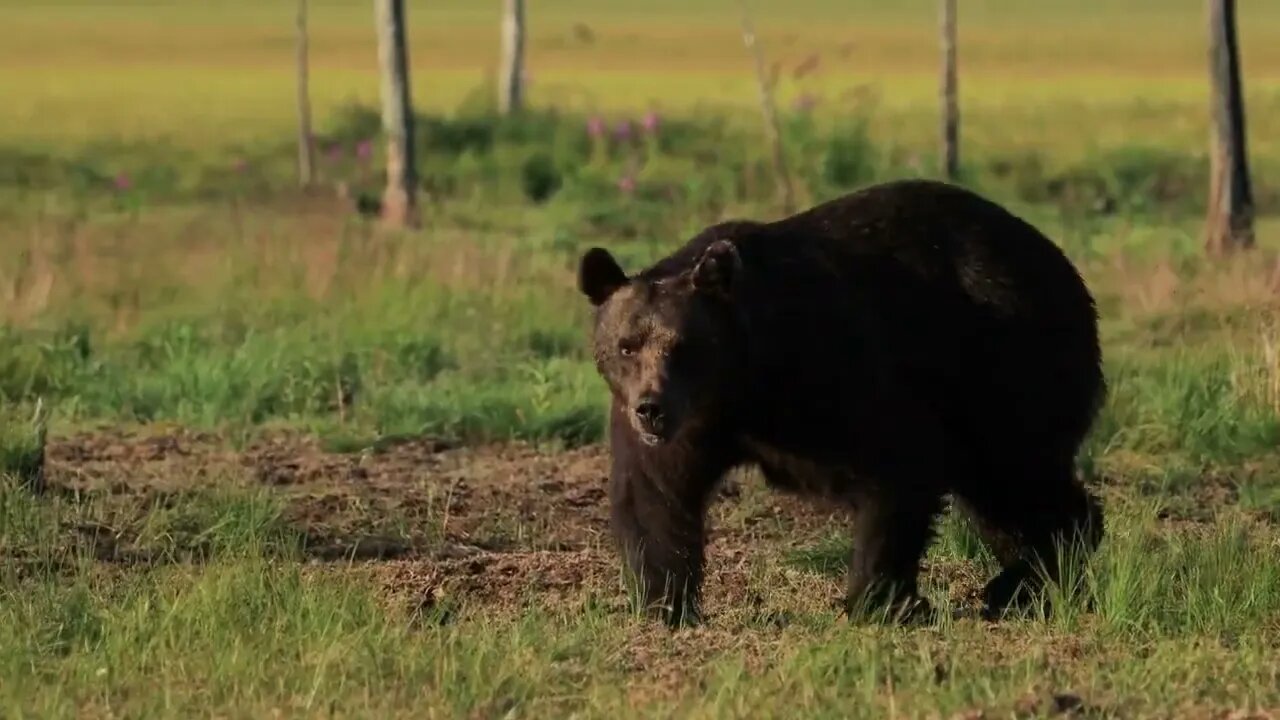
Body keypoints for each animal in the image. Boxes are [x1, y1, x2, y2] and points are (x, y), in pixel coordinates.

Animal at [576, 178, 1105, 622]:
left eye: (685, 345)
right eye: (626, 346)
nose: (652, 408)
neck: (738, 385)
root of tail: (1065, 268)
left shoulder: (833, 373)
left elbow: (897, 461)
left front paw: (874, 599)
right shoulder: (683, 429)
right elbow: (653, 497)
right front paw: (664, 603)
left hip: (1006, 362)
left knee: (1019, 474)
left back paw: (1029, 576)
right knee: (999, 494)